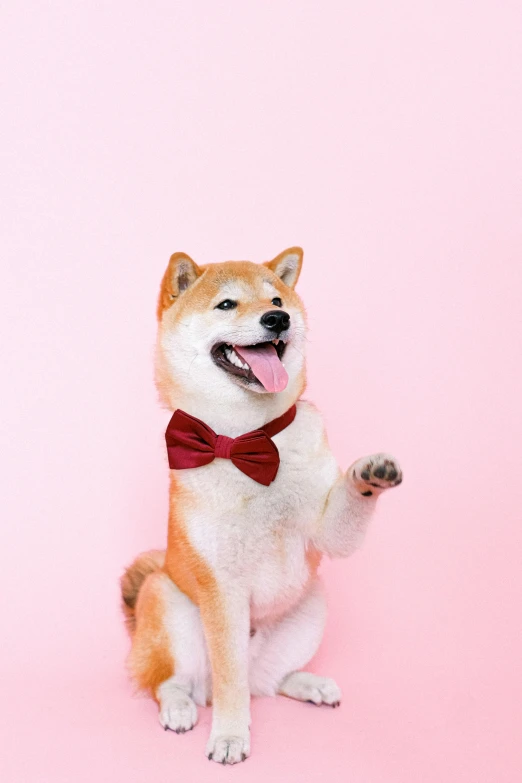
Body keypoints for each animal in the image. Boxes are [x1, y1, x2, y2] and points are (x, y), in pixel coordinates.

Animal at [120, 250, 400, 764]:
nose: (277, 320)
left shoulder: (326, 530)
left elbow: (344, 513)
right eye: (227, 304)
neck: (247, 440)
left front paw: (369, 473)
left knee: (268, 682)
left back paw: (308, 685)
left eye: (277, 300)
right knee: (173, 682)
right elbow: (230, 682)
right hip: (166, 599)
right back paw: (179, 708)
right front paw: (230, 736)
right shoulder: (222, 589)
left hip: (311, 606)